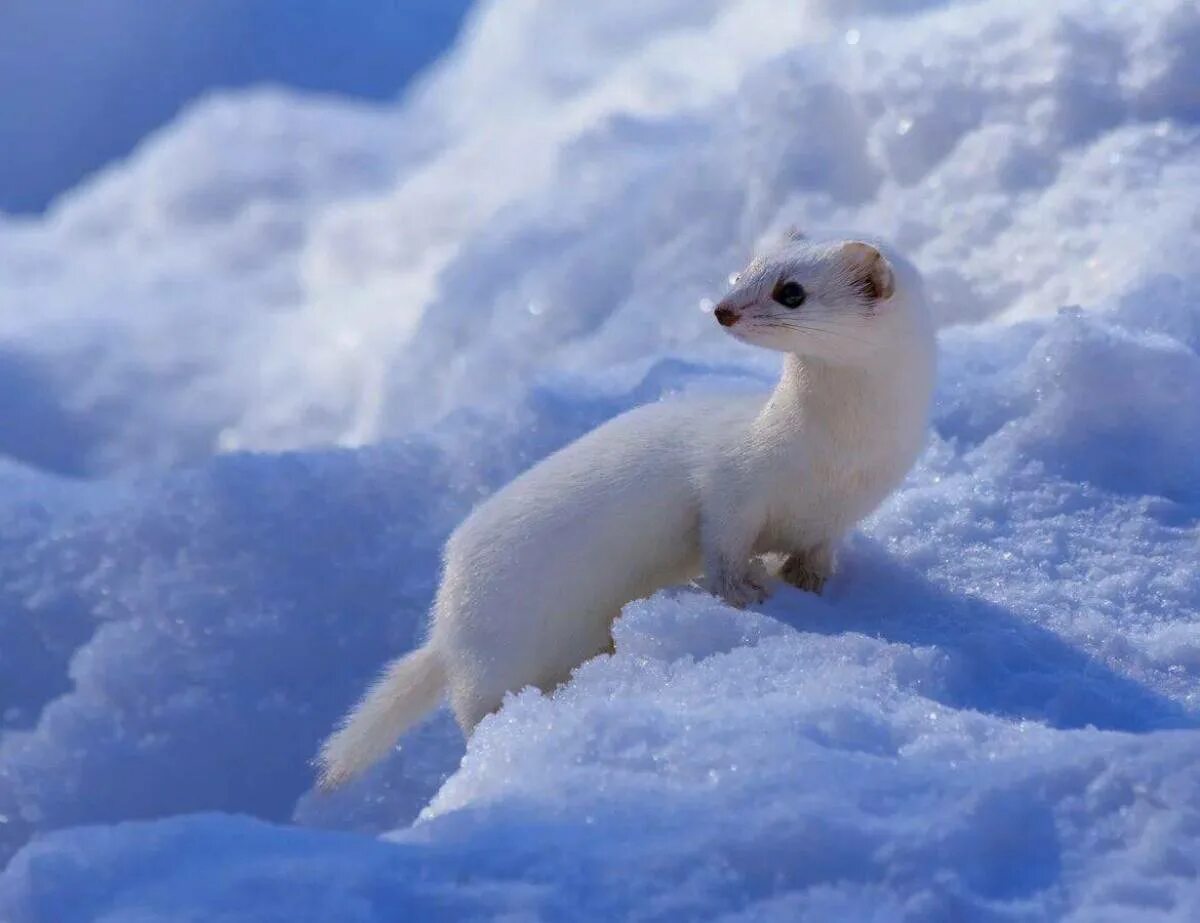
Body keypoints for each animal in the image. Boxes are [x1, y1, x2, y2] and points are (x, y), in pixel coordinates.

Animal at [316, 235, 936, 787]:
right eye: (743, 269)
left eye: (791, 291)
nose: (722, 309)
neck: (835, 461)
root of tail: (446, 624)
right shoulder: (731, 482)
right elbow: (721, 542)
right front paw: (745, 591)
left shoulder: (841, 514)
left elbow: (816, 553)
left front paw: (809, 584)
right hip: (494, 655)